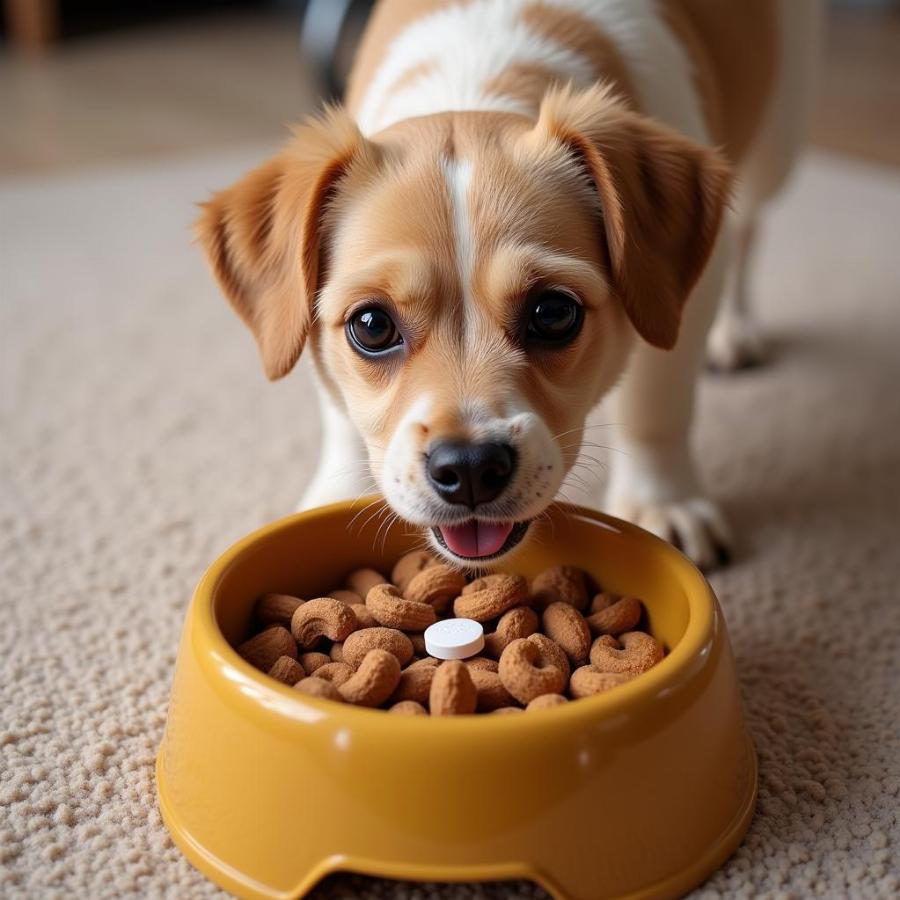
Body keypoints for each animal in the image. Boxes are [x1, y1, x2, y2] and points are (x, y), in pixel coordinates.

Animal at [197, 0, 824, 568]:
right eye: (370, 326)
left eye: (553, 313)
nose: (470, 468)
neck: (476, 76)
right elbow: (338, 416)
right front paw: (333, 493)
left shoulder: (678, 302)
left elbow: (657, 406)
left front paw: (662, 504)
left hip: (777, 140)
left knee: (746, 227)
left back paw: (735, 332)